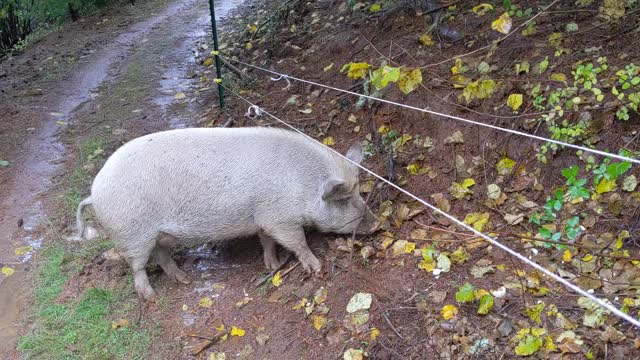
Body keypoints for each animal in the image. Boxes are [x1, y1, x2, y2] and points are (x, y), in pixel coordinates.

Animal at [72, 128, 378, 300]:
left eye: (358, 191)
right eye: (344, 199)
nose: (377, 224)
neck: (302, 183)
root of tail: (94, 193)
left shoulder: (262, 217)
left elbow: (266, 241)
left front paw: (271, 266)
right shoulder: (279, 218)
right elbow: (298, 242)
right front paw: (315, 268)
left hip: (158, 234)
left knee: (161, 255)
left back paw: (184, 279)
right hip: (132, 234)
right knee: (137, 266)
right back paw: (150, 297)